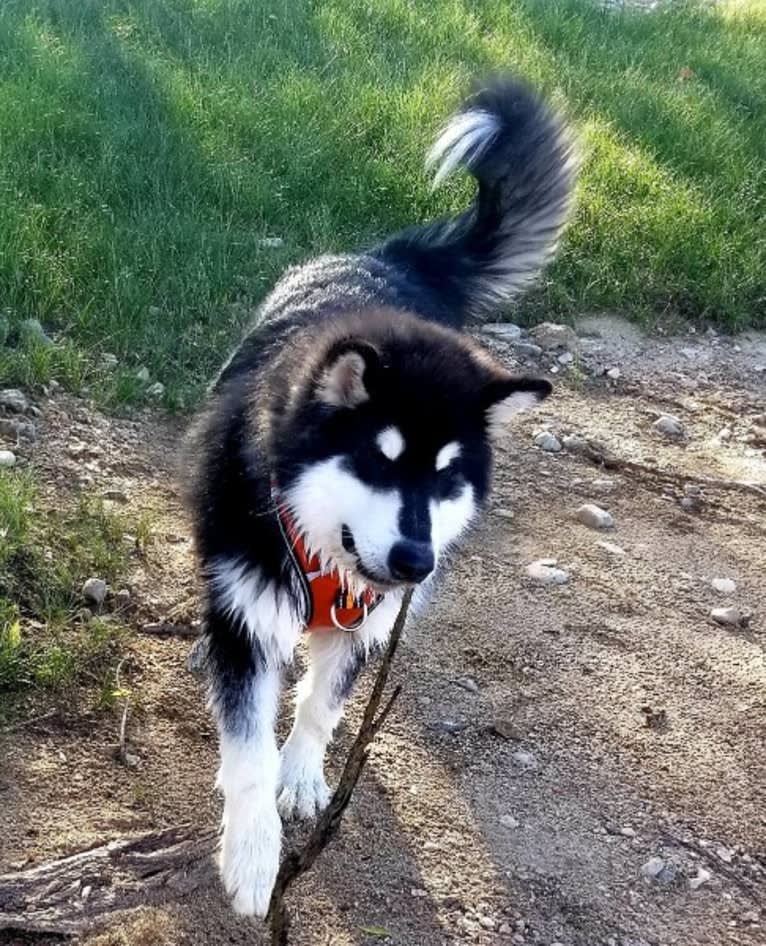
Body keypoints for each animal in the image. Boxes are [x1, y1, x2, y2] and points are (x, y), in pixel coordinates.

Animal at [186, 74, 576, 916]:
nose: (415, 562)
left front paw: (302, 774)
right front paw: (253, 854)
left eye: (448, 476)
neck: (315, 548)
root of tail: (386, 259)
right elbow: (247, 746)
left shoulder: (372, 618)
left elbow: (325, 702)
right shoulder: (246, 610)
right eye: (380, 460)